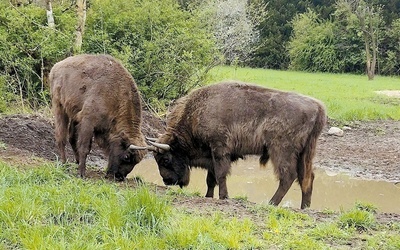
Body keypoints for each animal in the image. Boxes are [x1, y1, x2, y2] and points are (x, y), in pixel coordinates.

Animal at [148, 81, 326, 208]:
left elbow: (220, 175)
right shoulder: (212, 155)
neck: (198, 112)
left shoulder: (219, 150)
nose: (167, 181)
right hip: (305, 154)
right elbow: (211, 179)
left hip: (281, 151)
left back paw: (271, 203)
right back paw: (304, 207)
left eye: (165, 159)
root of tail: (318, 107)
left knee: (288, 176)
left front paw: (223, 197)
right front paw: (209, 196)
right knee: (307, 177)